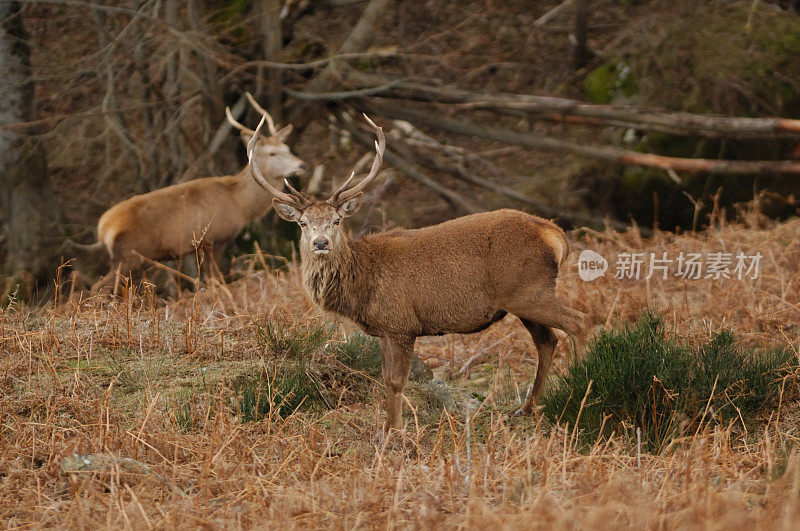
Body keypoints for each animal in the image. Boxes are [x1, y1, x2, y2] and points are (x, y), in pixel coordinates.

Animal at [89, 95, 308, 296]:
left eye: (287, 148)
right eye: (272, 153)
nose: (302, 165)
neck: (240, 204)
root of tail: (103, 228)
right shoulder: (216, 237)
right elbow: (215, 279)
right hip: (130, 256)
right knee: (97, 287)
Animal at [247, 113, 584, 432]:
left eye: (336, 221)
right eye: (303, 223)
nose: (320, 243)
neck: (364, 281)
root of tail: (554, 234)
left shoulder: (402, 323)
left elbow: (397, 381)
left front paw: (395, 433)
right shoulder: (384, 328)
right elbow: (384, 378)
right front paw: (385, 429)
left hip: (529, 290)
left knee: (577, 322)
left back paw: (581, 386)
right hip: (523, 298)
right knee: (547, 341)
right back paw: (527, 408)